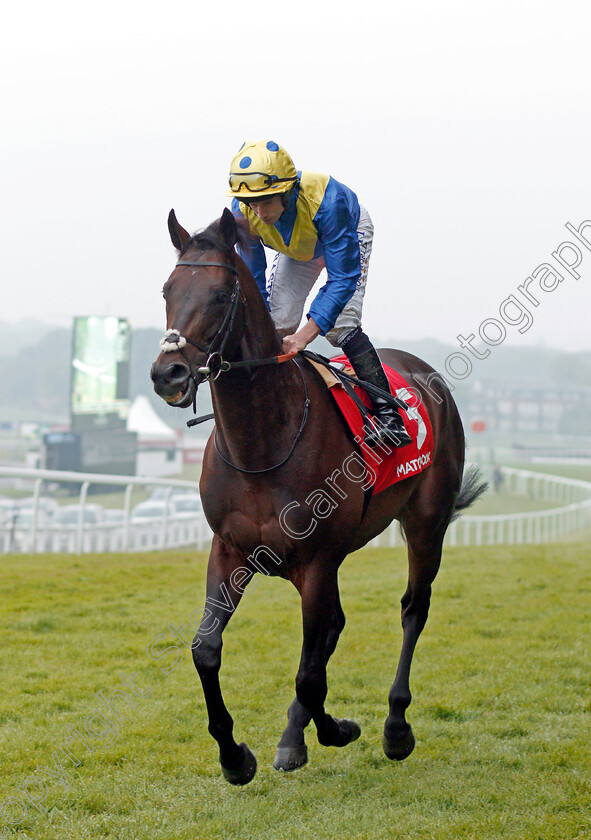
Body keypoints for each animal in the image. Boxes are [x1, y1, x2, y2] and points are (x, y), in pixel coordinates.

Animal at [149, 207, 486, 784]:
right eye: (168, 289)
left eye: (220, 294)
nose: (167, 373)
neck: (264, 441)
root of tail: (424, 373)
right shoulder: (231, 550)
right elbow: (206, 649)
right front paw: (236, 755)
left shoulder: (317, 560)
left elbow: (309, 670)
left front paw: (317, 733)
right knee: (335, 627)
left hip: (426, 523)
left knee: (413, 609)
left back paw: (395, 727)